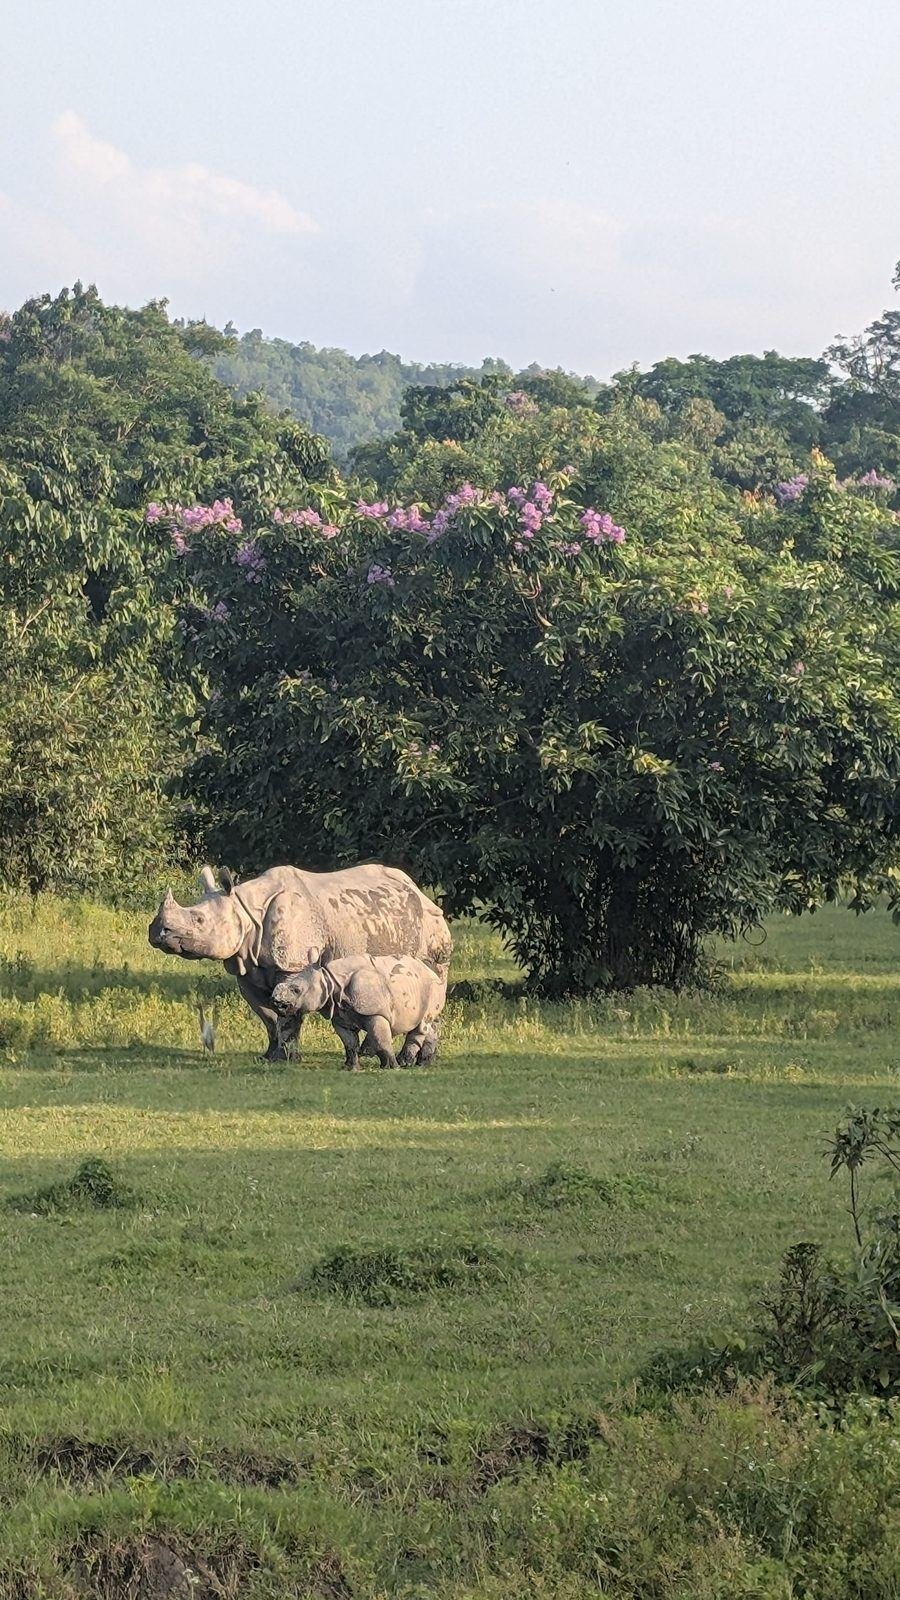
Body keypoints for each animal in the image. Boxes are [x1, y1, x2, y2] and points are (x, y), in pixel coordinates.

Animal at [271, 954, 447, 1070]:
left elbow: (381, 1038)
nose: (276, 1002)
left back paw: (404, 1063)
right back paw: (423, 1064)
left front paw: (392, 1067)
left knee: (423, 1023)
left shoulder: (375, 1013)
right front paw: (351, 1068)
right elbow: (349, 1042)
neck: (330, 980)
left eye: (296, 990)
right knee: (429, 1024)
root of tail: (432, 972)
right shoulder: (339, 1015)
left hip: (432, 986)